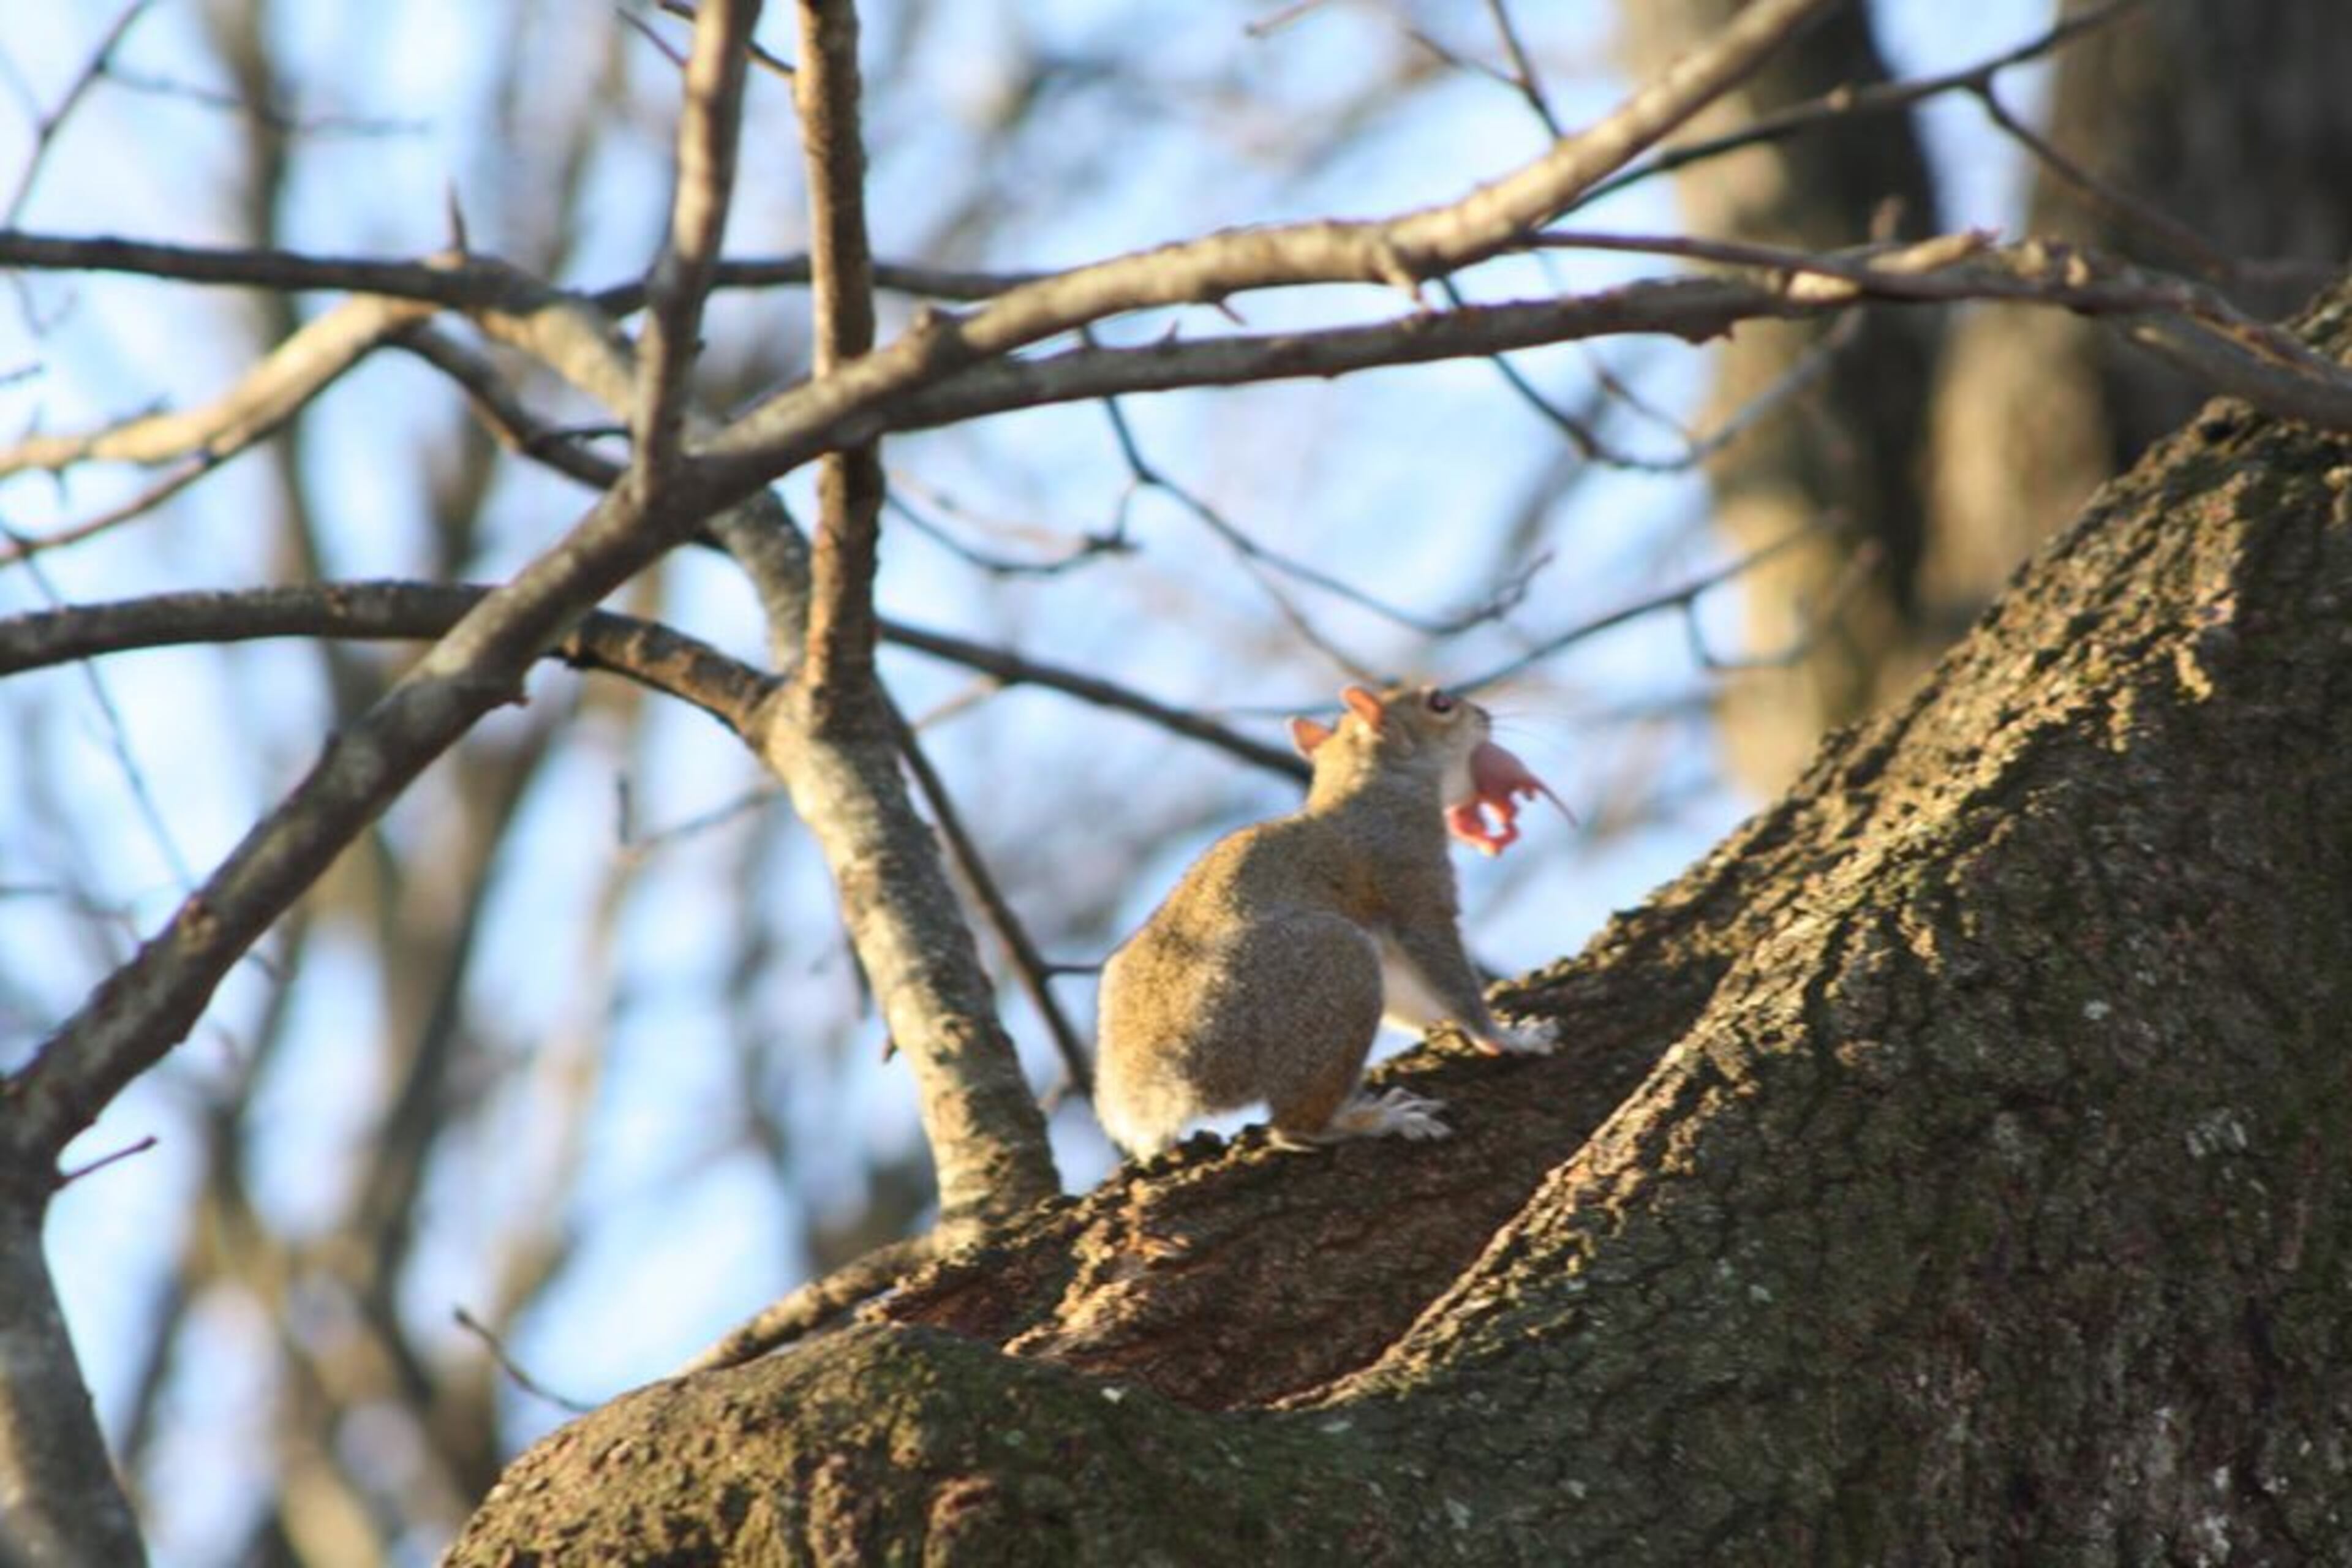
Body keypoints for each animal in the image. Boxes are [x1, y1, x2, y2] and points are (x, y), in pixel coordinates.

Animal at [1094, 682, 1563, 1158]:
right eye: (1440, 703)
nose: (1486, 716)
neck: (1369, 785)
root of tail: (1173, 1073)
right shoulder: (1412, 880)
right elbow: (1446, 969)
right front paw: (1502, 1037)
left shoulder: (1389, 945)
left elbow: (1411, 995)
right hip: (1336, 969)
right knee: (1294, 1127)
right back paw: (1375, 1120)